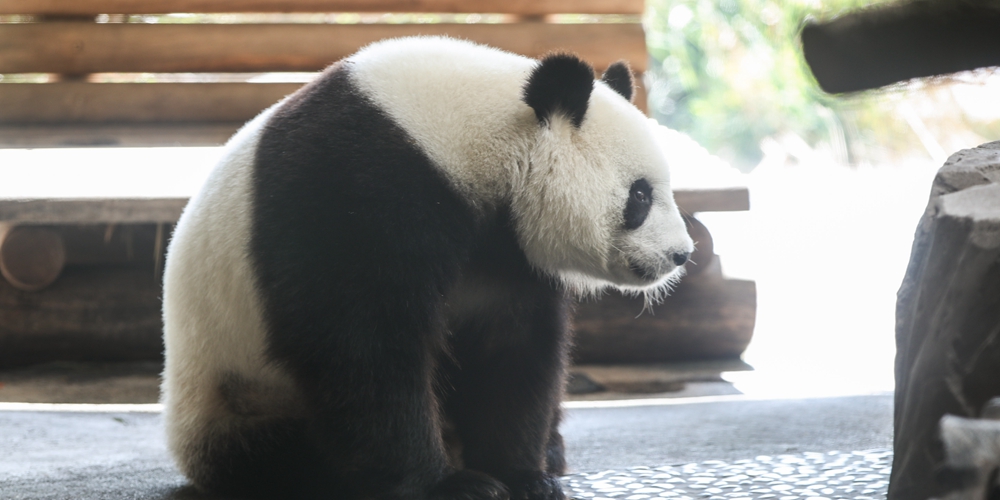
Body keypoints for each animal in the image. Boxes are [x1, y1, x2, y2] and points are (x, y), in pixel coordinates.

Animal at [164, 36, 696, 500]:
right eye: (640, 196)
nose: (681, 254)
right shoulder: (352, 187)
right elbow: (361, 346)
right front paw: (451, 485)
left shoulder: (505, 253)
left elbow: (513, 346)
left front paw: (522, 474)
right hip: (235, 392)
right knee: (281, 453)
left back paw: (550, 448)